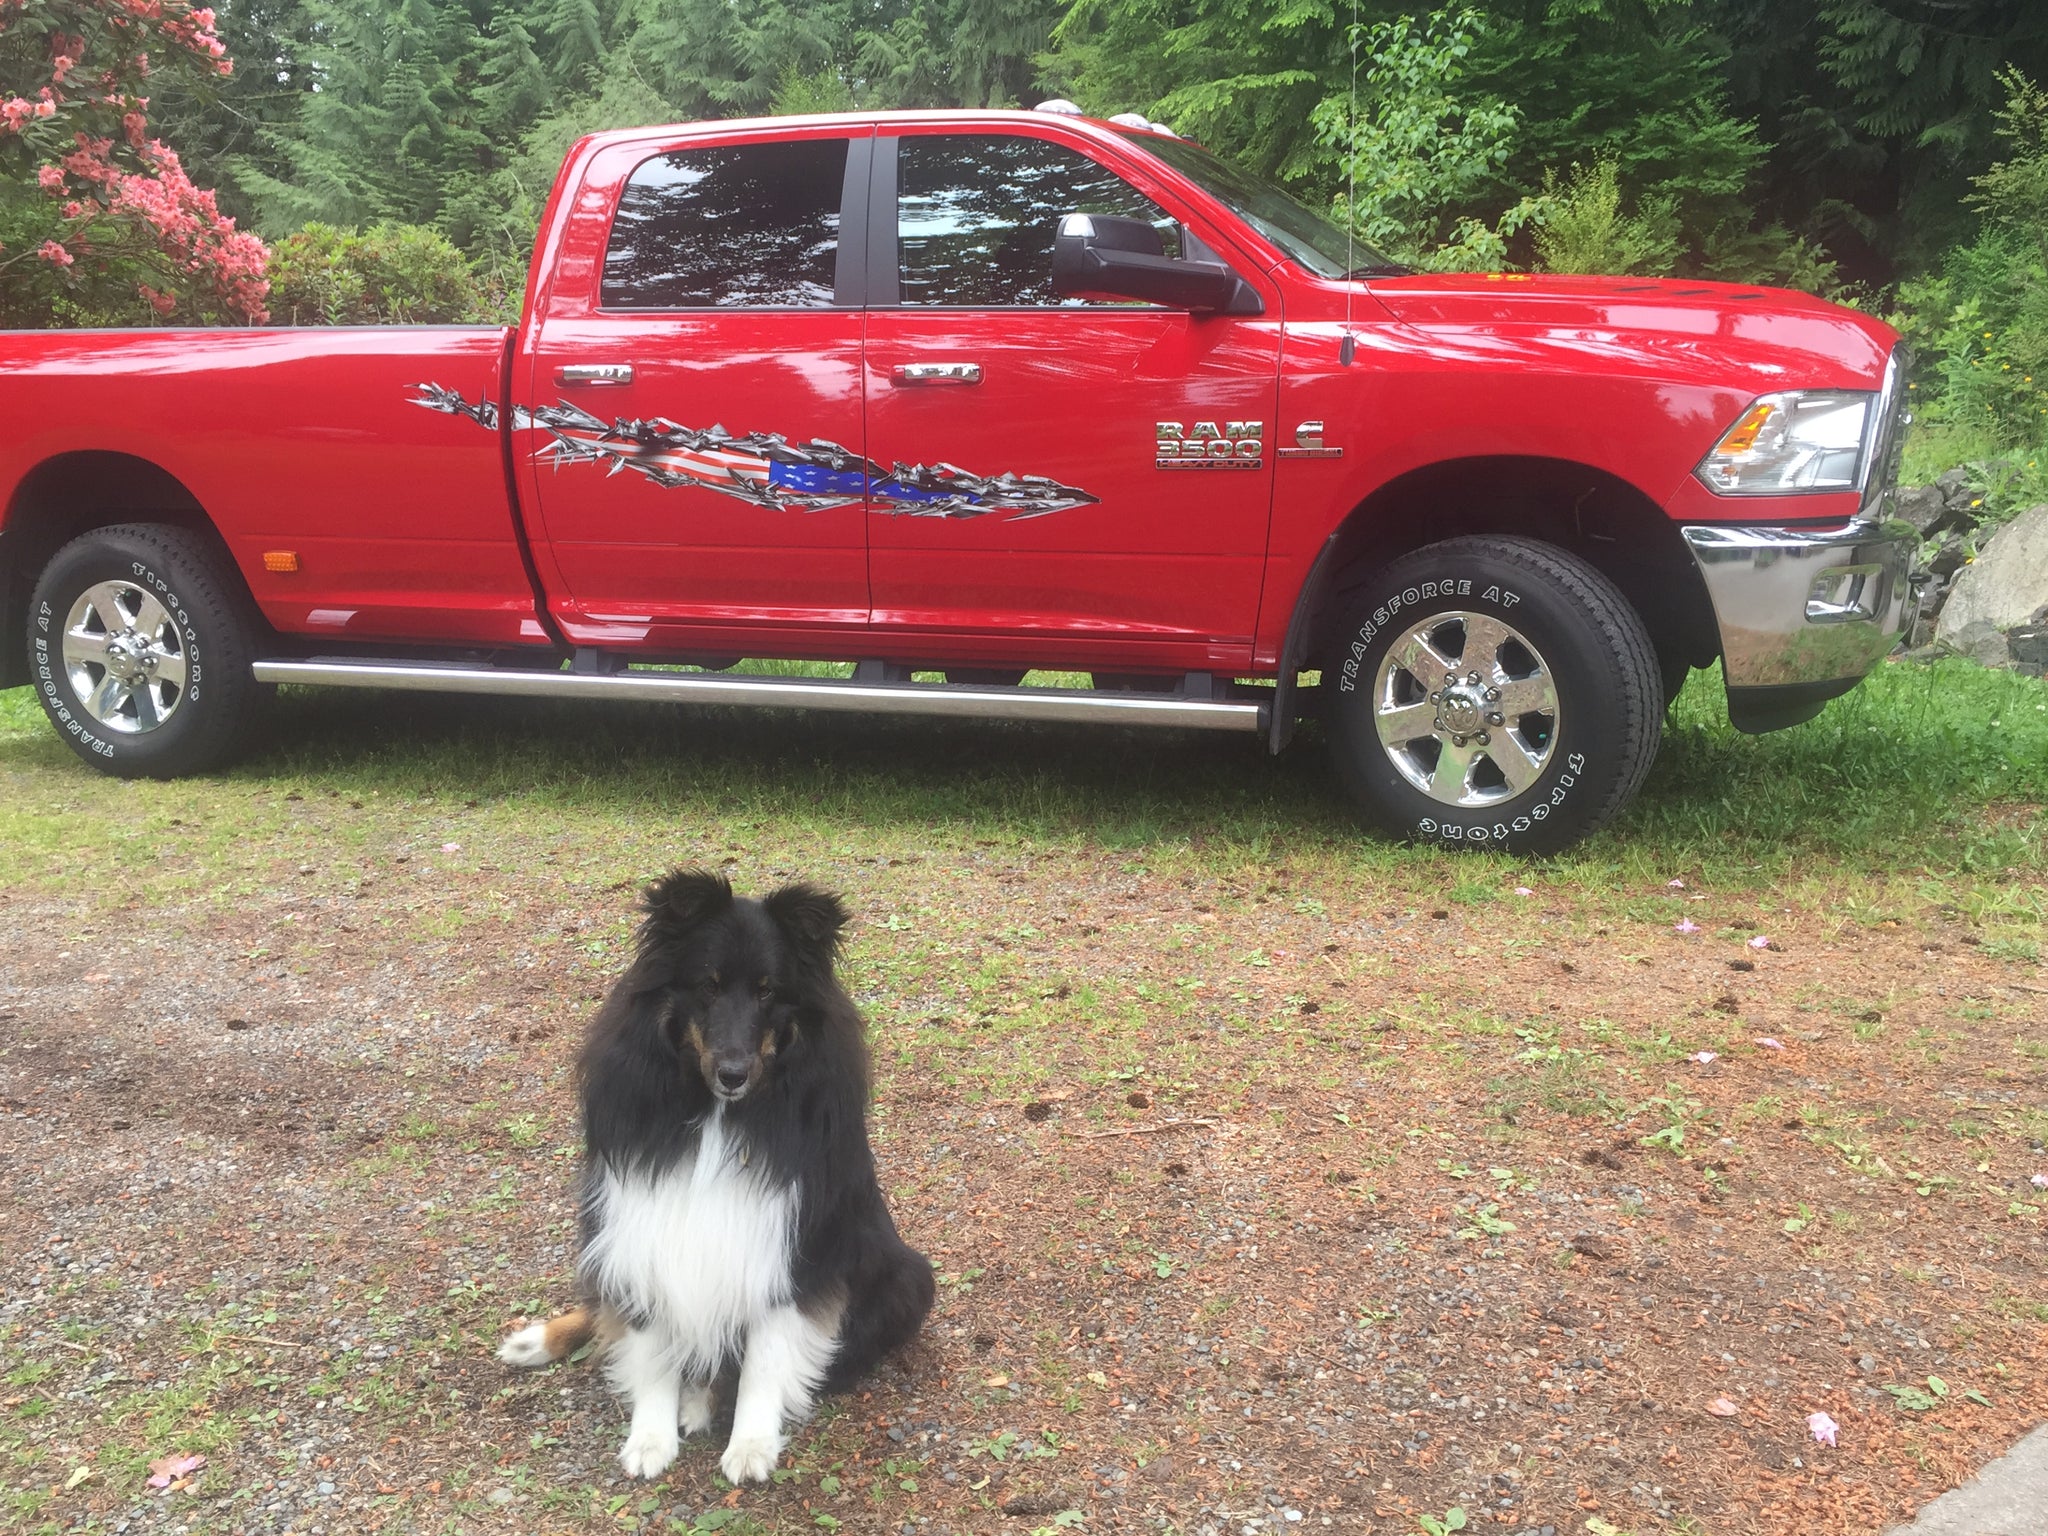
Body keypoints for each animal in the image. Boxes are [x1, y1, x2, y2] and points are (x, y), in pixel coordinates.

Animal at [503, 876, 937, 1490]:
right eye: (707, 986)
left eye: (768, 992)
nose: (733, 1074)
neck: (717, 1116)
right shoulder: (640, 1224)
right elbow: (650, 1347)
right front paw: (650, 1439)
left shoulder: (789, 1255)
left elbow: (762, 1361)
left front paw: (751, 1445)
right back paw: (537, 1340)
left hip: (902, 1280)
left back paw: (702, 1401)